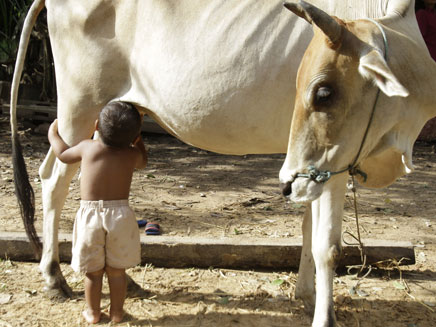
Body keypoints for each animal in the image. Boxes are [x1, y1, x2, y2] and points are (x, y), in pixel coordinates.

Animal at [10, 0, 432, 327]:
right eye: (322, 92)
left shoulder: (315, 165)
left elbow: (308, 229)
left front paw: (306, 295)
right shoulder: (334, 160)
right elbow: (328, 245)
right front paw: (323, 315)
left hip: (108, 117)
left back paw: (123, 281)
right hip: (78, 110)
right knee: (54, 179)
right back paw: (53, 278)